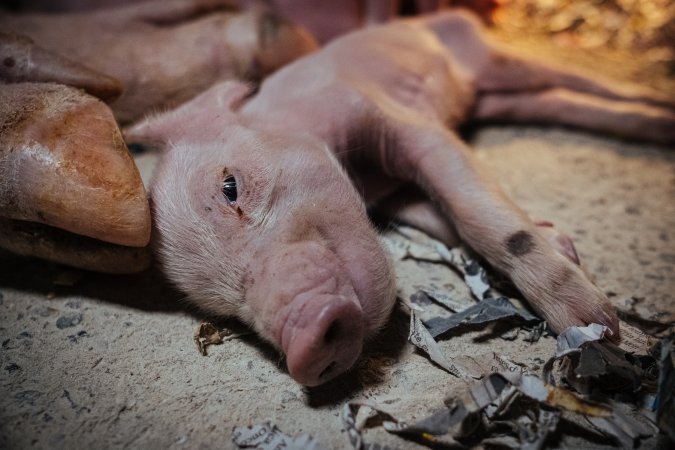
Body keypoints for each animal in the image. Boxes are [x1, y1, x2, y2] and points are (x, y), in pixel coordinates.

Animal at [125, 10, 674, 386]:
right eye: (222, 308)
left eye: (230, 188)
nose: (303, 343)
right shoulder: (395, 194)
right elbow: (442, 218)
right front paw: (561, 242)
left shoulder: (398, 120)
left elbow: (471, 212)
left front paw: (595, 326)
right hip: (501, 97)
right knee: (563, 101)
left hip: (500, 60)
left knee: (586, 81)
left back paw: (657, 109)